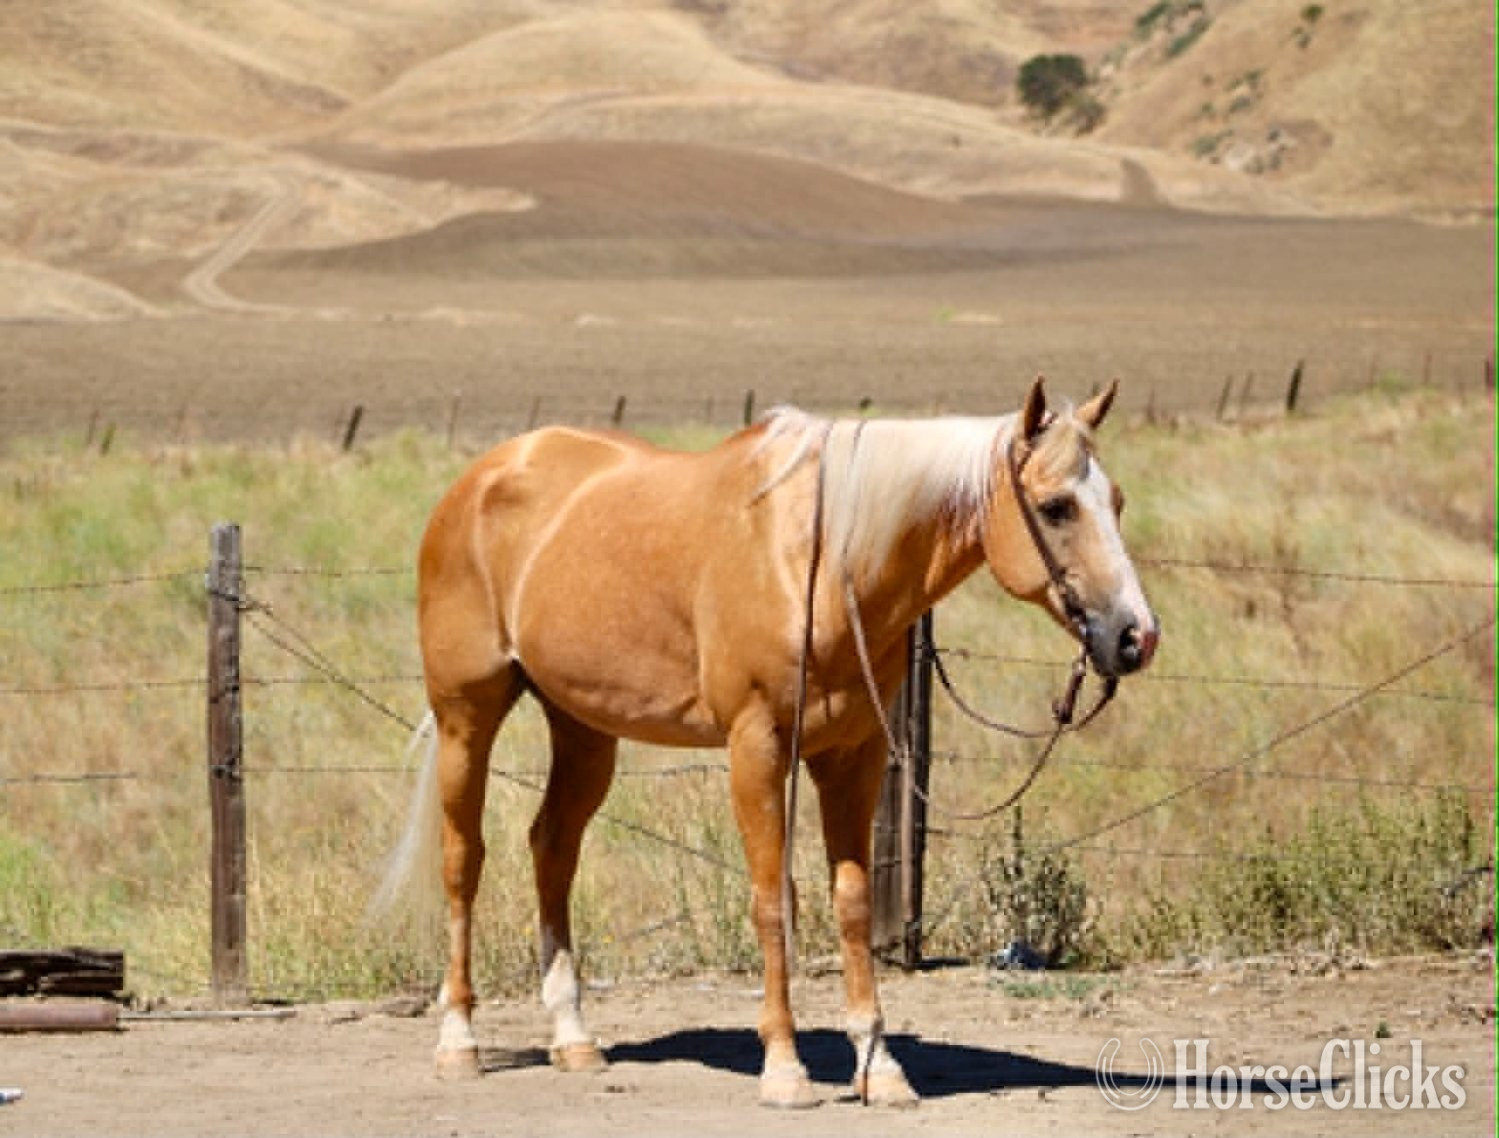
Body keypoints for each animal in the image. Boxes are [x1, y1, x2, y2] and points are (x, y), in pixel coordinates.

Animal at [378, 376, 1158, 1108]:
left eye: (1116, 500)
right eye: (1056, 507)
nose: (1135, 636)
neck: (824, 558)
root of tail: (485, 475)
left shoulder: (852, 757)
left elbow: (849, 902)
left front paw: (880, 1067)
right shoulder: (757, 747)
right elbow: (772, 900)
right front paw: (784, 1067)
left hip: (583, 728)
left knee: (552, 849)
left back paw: (574, 1038)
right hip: (467, 717)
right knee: (463, 860)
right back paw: (458, 1041)